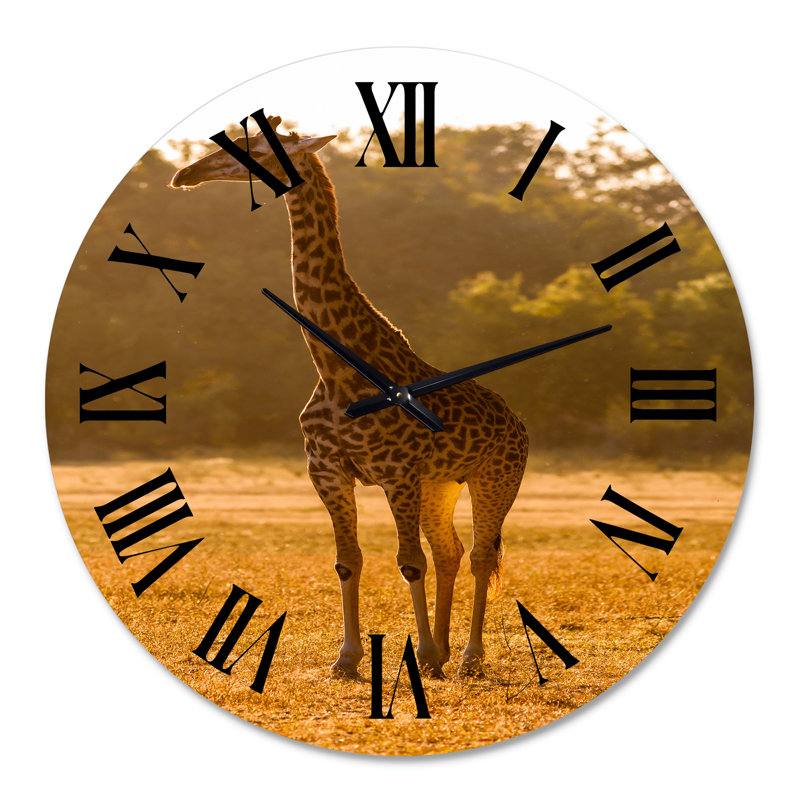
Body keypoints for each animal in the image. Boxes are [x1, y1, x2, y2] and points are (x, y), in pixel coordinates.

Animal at [171, 117, 529, 678]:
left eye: (255, 148)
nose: (185, 174)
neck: (335, 367)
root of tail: (519, 424)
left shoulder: (397, 473)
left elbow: (408, 563)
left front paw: (420, 651)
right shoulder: (328, 470)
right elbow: (349, 560)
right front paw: (349, 658)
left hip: (495, 477)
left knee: (479, 556)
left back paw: (466, 657)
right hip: (441, 485)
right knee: (449, 552)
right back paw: (444, 654)